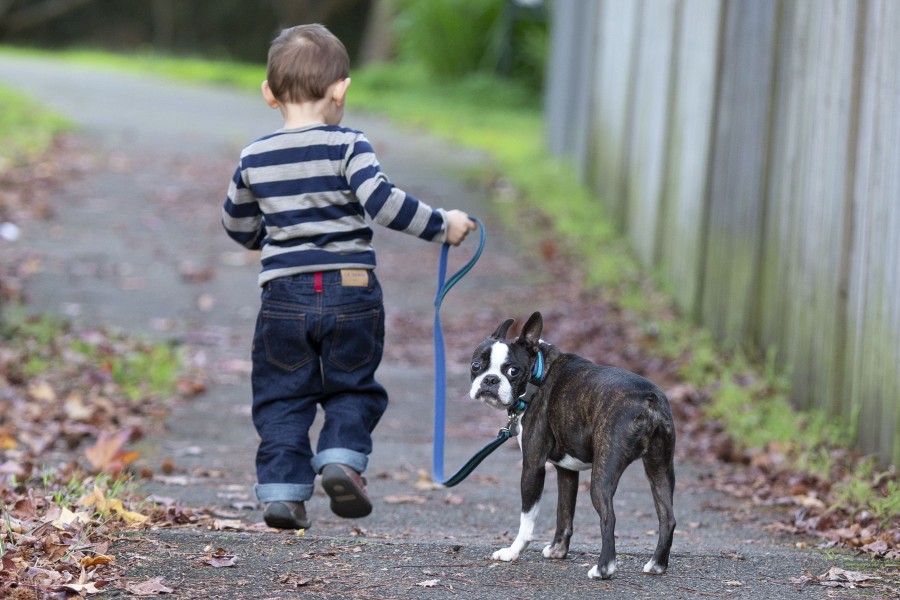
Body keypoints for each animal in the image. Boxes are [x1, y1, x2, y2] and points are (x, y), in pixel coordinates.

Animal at [472, 312, 676, 580]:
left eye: (513, 371)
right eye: (476, 365)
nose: (490, 379)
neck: (538, 375)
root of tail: (648, 400)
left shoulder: (533, 466)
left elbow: (527, 519)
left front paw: (512, 552)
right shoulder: (566, 471)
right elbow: (564, 512)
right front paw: (558, 551)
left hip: (604, 472)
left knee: (609, 517)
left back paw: (603, 569)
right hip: (660, 467)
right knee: (667, 517)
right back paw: (657, 565)